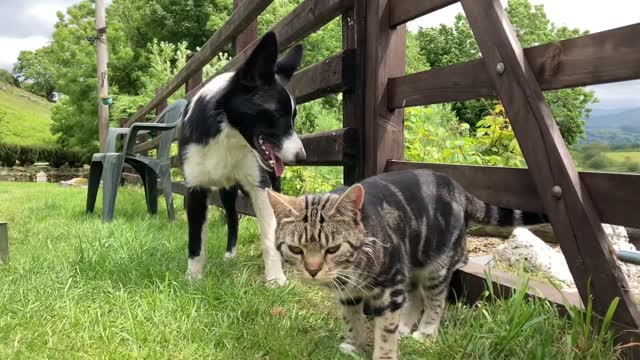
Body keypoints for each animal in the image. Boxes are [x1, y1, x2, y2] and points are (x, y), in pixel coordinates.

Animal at [176, 31, 304, 286]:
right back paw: (230, 255)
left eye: (293, 116)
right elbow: (195, 241)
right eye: (277, 114)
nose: (302, 156)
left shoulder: (260, 186)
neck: (227, 134)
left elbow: (268, 235)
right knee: (233, 219)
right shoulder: (195, 188)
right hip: (226, 191)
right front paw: (193, 279)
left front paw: (275, 280)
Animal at [268, 169, 548, 360]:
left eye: (333, 249)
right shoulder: (349, 293)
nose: (312, 271)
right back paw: (404, 326)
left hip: (436, 267)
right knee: (416, 298)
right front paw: (354, 345)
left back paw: (425, 332)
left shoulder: (390, 287)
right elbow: (352, 319)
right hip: (412, 265)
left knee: (435, 301)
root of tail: (459, 188)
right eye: (296, 249)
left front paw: (384, 355)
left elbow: (385, 332)